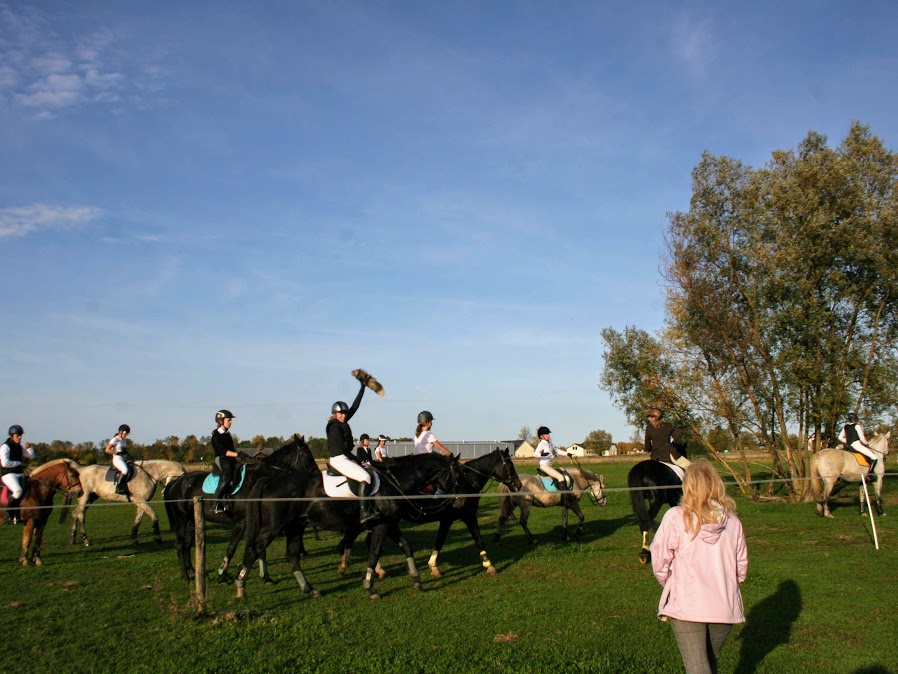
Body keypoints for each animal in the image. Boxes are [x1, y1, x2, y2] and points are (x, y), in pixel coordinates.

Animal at [162, 436, 316, 584]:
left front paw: (266, 577)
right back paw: (185, 575)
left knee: (188, 543)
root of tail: (176, 482)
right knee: (180, 544)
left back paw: (192, 570)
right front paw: (222, 576)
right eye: (307, 455)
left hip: (192, 519)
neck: (256, 480)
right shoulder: (242, 523)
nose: (316, 474)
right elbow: (232, 548)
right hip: (181, 518)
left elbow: (261, 551)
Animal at [234, 448, 462, 596]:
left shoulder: (389, 525)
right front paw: (370, 587)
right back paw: (240, 587)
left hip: (295, 526)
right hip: (273, 527)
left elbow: (406, 546)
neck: (394, 482)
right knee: (254, 550)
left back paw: (309, 589)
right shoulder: (381, 526)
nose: (459, 502)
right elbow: (374, 554)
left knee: (291, 555)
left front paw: (416, 578)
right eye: (457, 476)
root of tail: (271, 480)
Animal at [334, 446, 520, 576]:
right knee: (355, 537)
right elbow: (479, 540)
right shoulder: (468, 516)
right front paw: (489, 565)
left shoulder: (447, 519)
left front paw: (433, 566)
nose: (518, 485)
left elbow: (439, 540)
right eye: (510, 465)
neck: (467, 483)